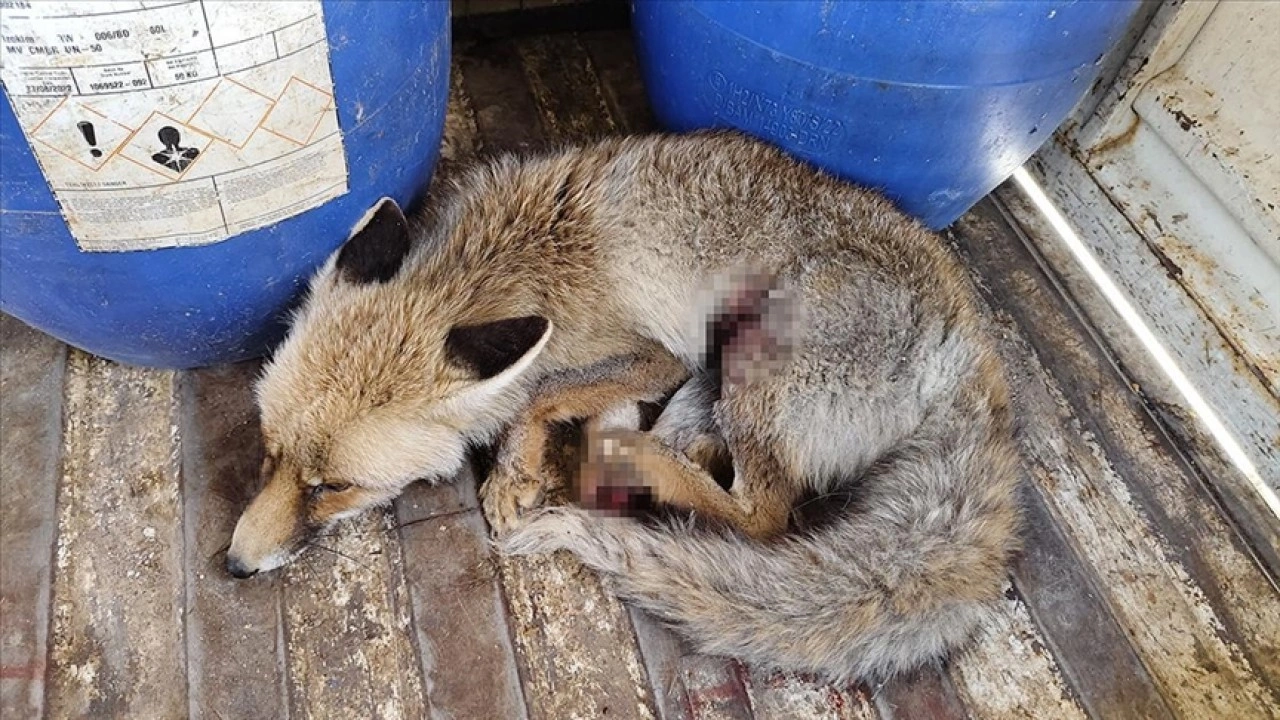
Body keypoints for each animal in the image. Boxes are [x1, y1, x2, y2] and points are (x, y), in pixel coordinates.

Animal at [222, 131, 1018, 681]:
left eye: (333, 487)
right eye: (269, 454)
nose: (234, 566)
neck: (502, 266)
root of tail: (976, 350)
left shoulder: (654, 355)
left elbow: (539, 392)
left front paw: (514, 470)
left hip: (750, 359)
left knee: (762, 515)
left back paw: (619, 455)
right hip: (718, 377)